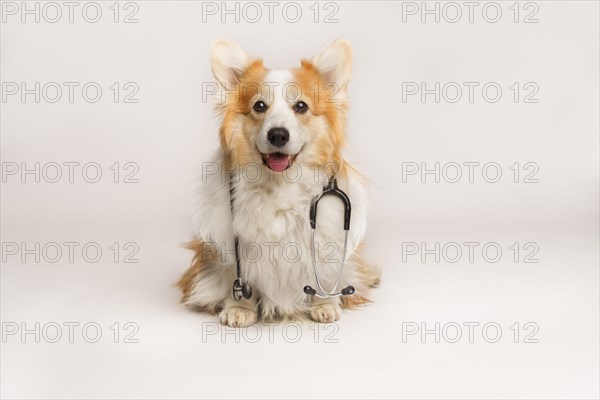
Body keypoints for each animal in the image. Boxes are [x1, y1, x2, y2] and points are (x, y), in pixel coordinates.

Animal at [176, 39, 380, 326]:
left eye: (301, 106)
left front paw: (325, 303)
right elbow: (235, 276)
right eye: (259, 106)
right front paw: (239, 307)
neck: (281, 183)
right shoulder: (227, 245)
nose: (278, 135)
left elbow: (325, 272)